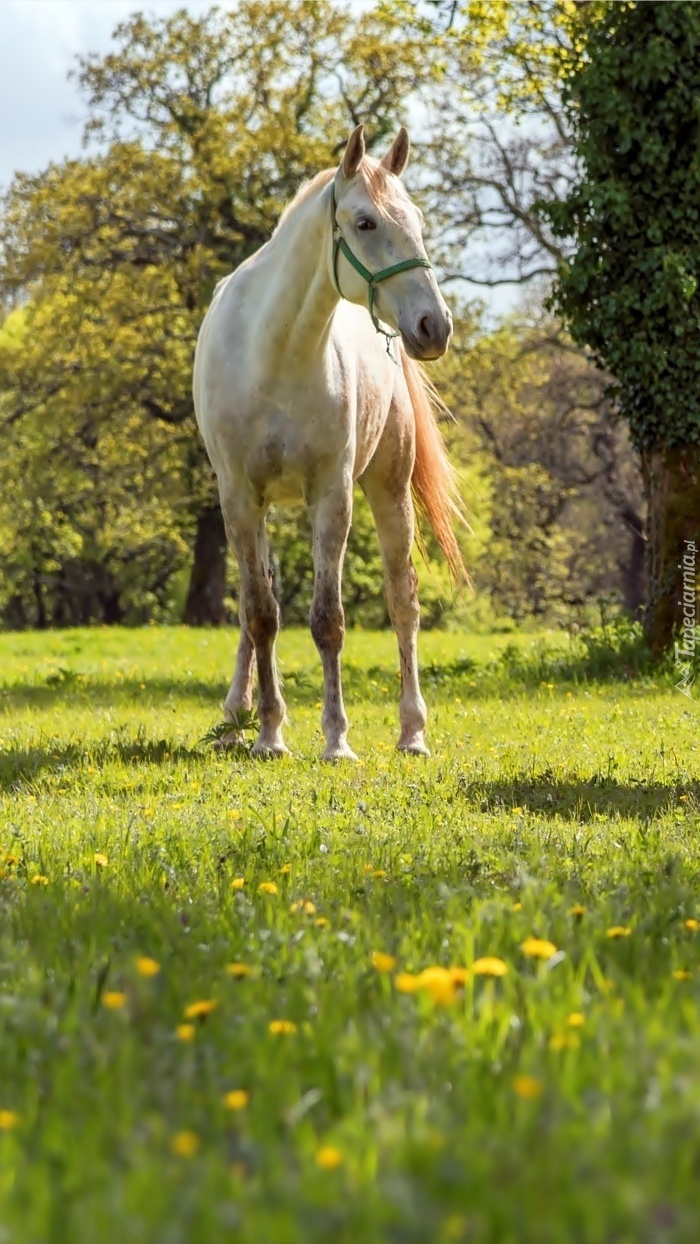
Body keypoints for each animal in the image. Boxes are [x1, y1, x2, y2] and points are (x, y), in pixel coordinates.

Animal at [191, 123, 465, 756]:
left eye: (416, 219)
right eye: (364, 223)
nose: (433, 326)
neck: (274, 354)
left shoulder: (331, 497)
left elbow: (328, 620)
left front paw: (335, 738)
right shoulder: (239, 498)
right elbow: (260, 614)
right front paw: (269, 733)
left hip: (389, 490)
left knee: (403, 603)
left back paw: (412, 732)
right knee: (257, 604)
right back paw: (236, 714)